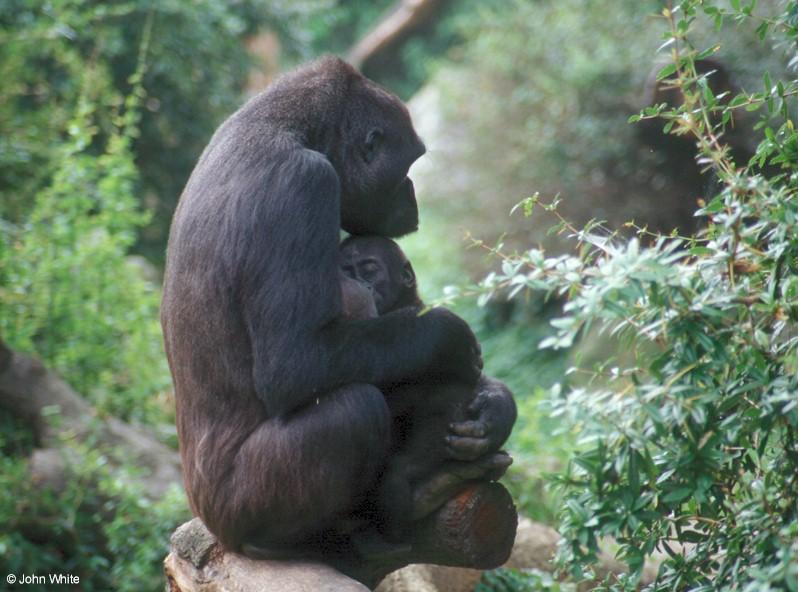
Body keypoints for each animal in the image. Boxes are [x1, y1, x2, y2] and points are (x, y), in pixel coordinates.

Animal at [159, 55, 478, 556]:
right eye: (408, 163)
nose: (412, 192)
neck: (289, 127)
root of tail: (212, 525)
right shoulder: (303, 184)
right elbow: (296, 364)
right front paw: (446, 337)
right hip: (235, 512)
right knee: (355, 409)